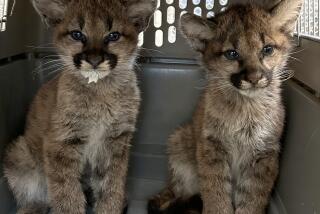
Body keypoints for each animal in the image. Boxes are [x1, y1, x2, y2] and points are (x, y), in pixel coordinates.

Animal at [4, 0, 156, 214]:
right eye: (77, 34)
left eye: (113, 36)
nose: (94, 60)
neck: (100, 90)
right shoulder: (60, 143)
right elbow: (66, 193)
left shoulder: (115, 142)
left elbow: (111, 186)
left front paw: (110, 208)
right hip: (19, 152)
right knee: (37, 196)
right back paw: (33, 207)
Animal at [149, 0, 302, 214]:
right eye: (231, 54)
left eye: (267, 49)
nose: (254, 78)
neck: (247, 107)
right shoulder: (212, 147)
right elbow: (215, 192)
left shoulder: (265, 153)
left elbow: (253, 198)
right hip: (179, 139)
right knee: (176, 194)